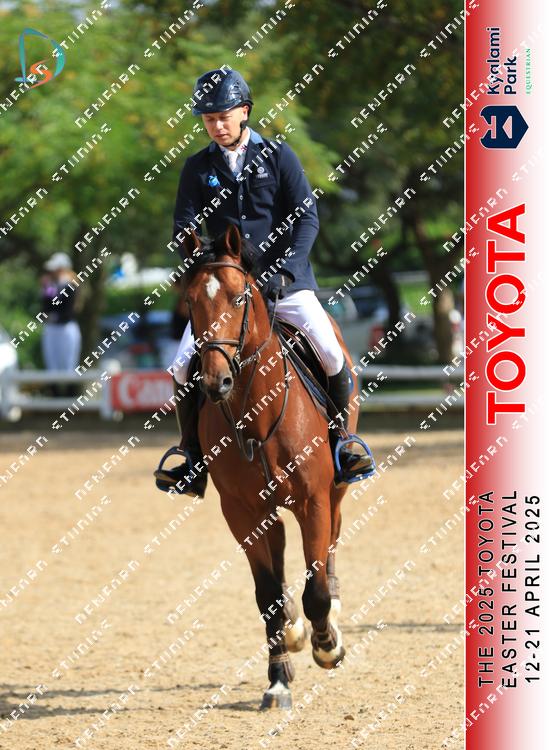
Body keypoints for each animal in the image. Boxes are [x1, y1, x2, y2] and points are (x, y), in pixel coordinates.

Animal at [179, 224, 363, 709]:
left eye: (240, 297)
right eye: (190, 300)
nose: (216, 381)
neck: (255, 412)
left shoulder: (313, 501)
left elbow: (316, 590)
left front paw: (327, 645)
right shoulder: (241, 512)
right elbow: (267, 596)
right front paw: (278, 678)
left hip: (336, 490)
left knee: (332, 542)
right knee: (279, 562)